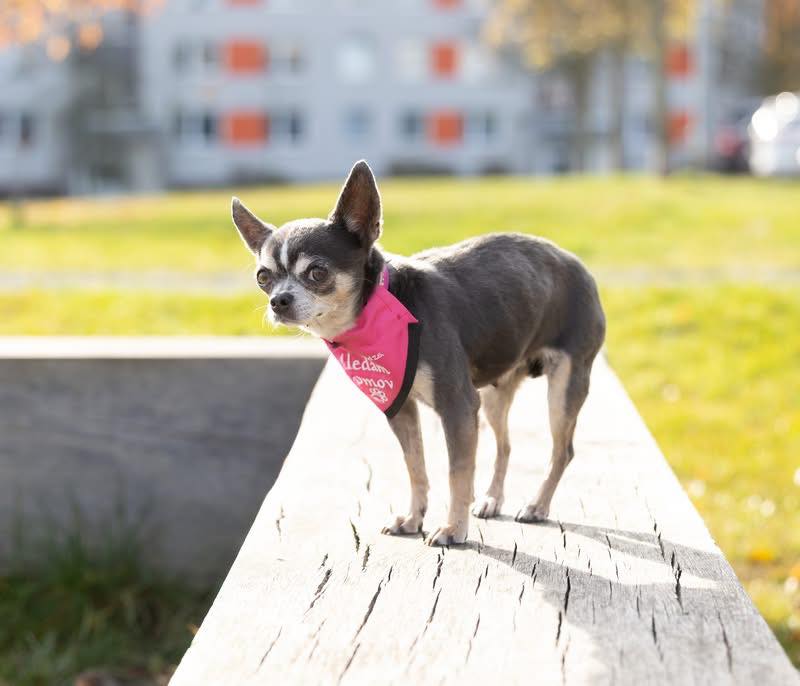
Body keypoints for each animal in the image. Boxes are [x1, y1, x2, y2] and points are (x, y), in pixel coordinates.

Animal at [231, 160, 606, 546]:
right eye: (263, 278)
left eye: (317, 272)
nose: (278, 301)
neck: (381, 308)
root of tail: (577, 264)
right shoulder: (401, 407)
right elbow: (416, 467)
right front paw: (414, 518)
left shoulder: (457, 406)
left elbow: (457, 473)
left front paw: (453, 529)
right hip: (493, 396)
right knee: (505, 445)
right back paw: (491, 499)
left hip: (563, 388)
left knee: (562, 451)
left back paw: (536, 505)